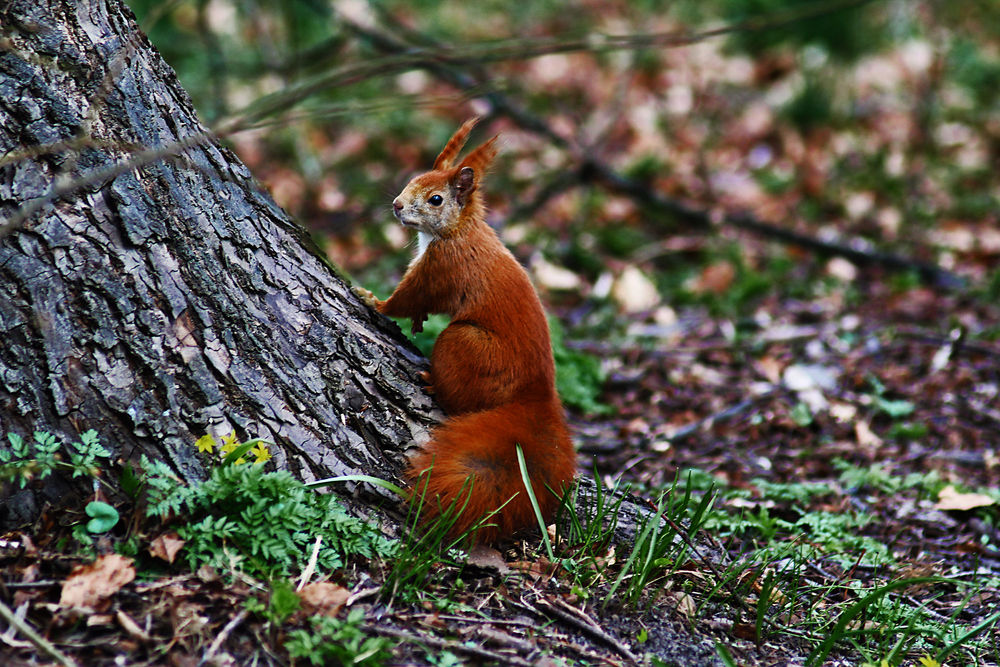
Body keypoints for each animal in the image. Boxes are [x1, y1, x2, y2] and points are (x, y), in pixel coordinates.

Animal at [355, 118, 577, 544]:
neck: (458, 231)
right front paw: (415, 319)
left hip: (464, 343)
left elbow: (408, 296)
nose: (397, 205)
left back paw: (433, 383)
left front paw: (372, 300)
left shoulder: (439, 268)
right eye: (412, 179)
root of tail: (537, 394)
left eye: (436, 199)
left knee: (460, 400)